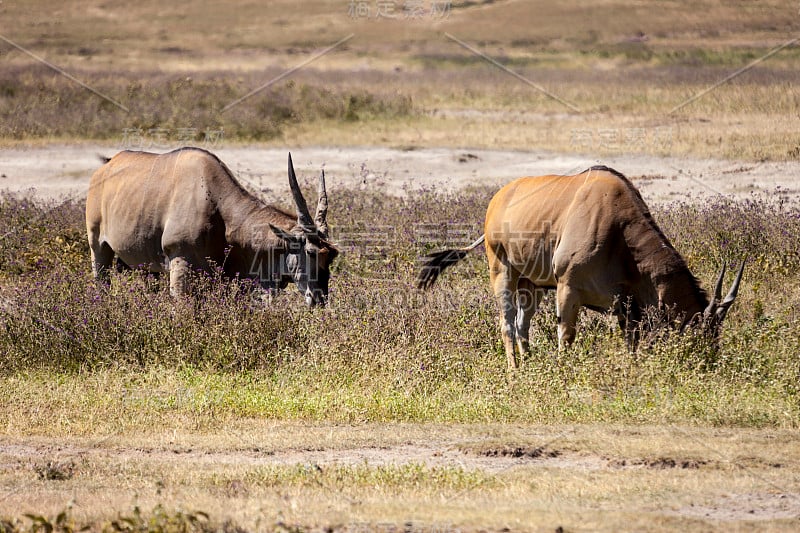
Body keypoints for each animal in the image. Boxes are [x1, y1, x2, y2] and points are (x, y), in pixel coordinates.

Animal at [87, 147, 338, 304]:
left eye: (331, 256)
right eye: (310, 252)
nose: (319, 299)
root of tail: (106, 166)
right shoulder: (180, 268)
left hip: (147, 269)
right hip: (98, 249)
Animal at [418, 164, 744, 368]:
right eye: (699, 336)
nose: (708, 366)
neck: (619, 228)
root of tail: (497, 200)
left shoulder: (626, 306)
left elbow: (631, 344)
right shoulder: (568, 289)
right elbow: (566, 337)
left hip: (533, 286)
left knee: (523, 324)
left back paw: (529, 365)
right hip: (503, 274)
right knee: (507, 323)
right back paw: (514, 371)